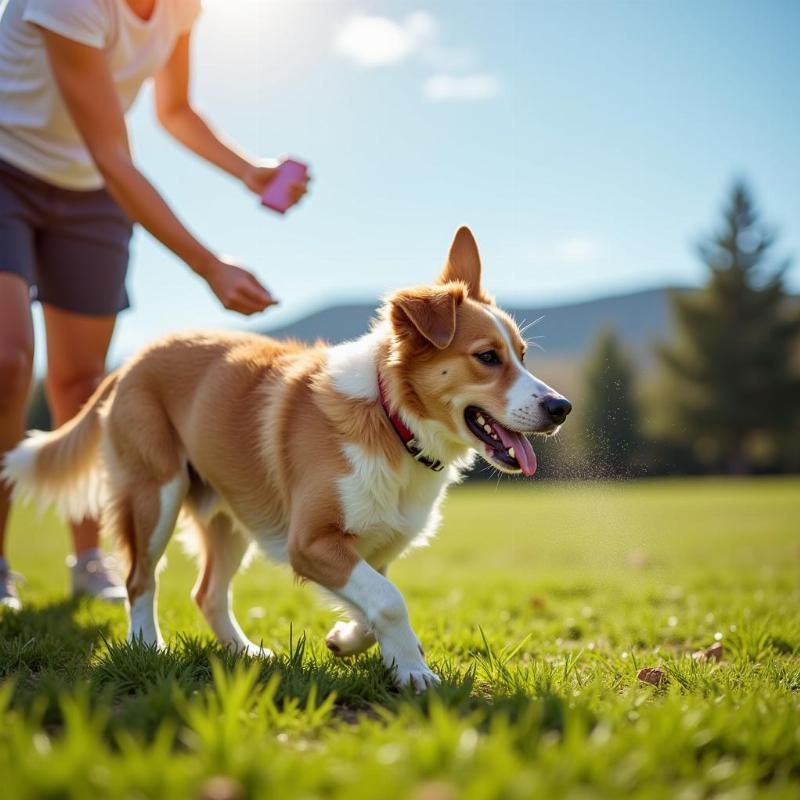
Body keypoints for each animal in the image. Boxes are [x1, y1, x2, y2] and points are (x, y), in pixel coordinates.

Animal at [3, 228, 572, 692]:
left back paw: (247, 654)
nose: (561, 408)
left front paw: (348, 640)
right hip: (154, 497)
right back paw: (147, 646)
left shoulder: (373, 546)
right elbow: (391, 601)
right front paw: (414, 673)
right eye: (487, 357)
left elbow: (378, 601)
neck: (392, 420)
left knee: (208, 593)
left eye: (522, 354)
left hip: (229, 517)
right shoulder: (310, 541)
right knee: (140, 580)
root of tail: (135, 360)